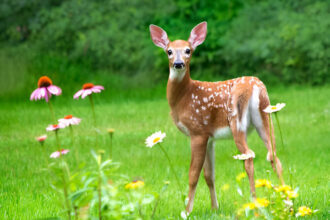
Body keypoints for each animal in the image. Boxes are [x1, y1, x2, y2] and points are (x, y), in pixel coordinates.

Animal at [149, 21, 284, 212]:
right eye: (169, 51)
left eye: (188, 50)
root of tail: (255, 87)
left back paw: (254, 202)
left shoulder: (198, 131)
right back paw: (287, 199)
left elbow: (193, 174)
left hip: (236, 121)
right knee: (273, 155)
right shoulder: (210, 137)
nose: (178, 63)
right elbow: (209, 175)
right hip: (265, 117)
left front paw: (187, 211)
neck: (183, 97)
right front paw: (214, 208)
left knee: (249, 156)